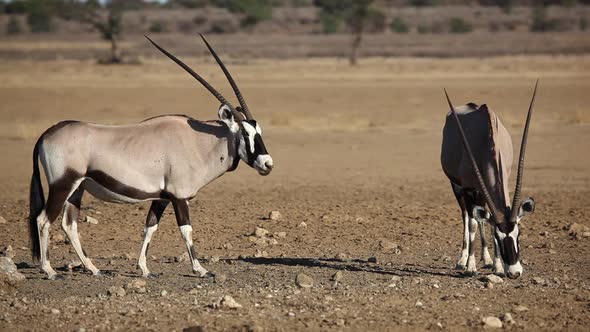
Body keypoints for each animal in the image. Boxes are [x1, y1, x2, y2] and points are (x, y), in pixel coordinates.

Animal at [28, 35, 274, 278]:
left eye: (259, 131)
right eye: (245, 133)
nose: (267, 164)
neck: (198, 142)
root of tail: (46, 135)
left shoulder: (162, 197)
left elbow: (150, 227)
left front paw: (144, 269)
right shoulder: (179, 196)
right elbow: (186, 230)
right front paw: (200, 269)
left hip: (78, 187)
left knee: (69, 224)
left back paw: (93, 269)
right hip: (62, 184)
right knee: (43, 220)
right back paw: (49, 269)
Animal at [442, 81, 540, 278]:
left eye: (518, 234)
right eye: (497, 235)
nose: (514, 273)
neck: (487, 141)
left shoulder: (490, 188)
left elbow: (484, 220)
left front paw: (497, 266)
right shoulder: (467, 188)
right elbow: (472, 223)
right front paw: (470, 267)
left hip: (479, 194)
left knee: (480, 217)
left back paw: (486, 259)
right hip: (458, 188)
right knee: (467, 216)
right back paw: (462, 260)